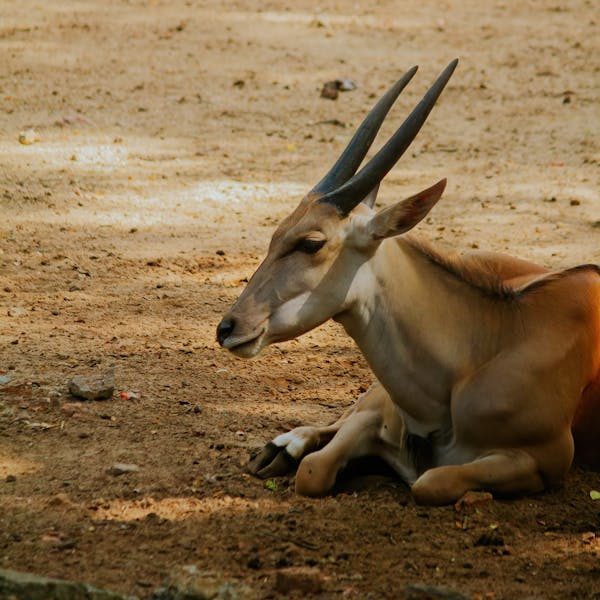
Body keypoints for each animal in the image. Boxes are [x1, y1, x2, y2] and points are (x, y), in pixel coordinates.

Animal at [216, 59, 600, 502]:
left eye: (311, 243)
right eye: (276, 233)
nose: (228, 328)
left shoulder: (545, 461)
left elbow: (429, 483)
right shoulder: (371, 417)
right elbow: (314, 470)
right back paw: (280, 448)